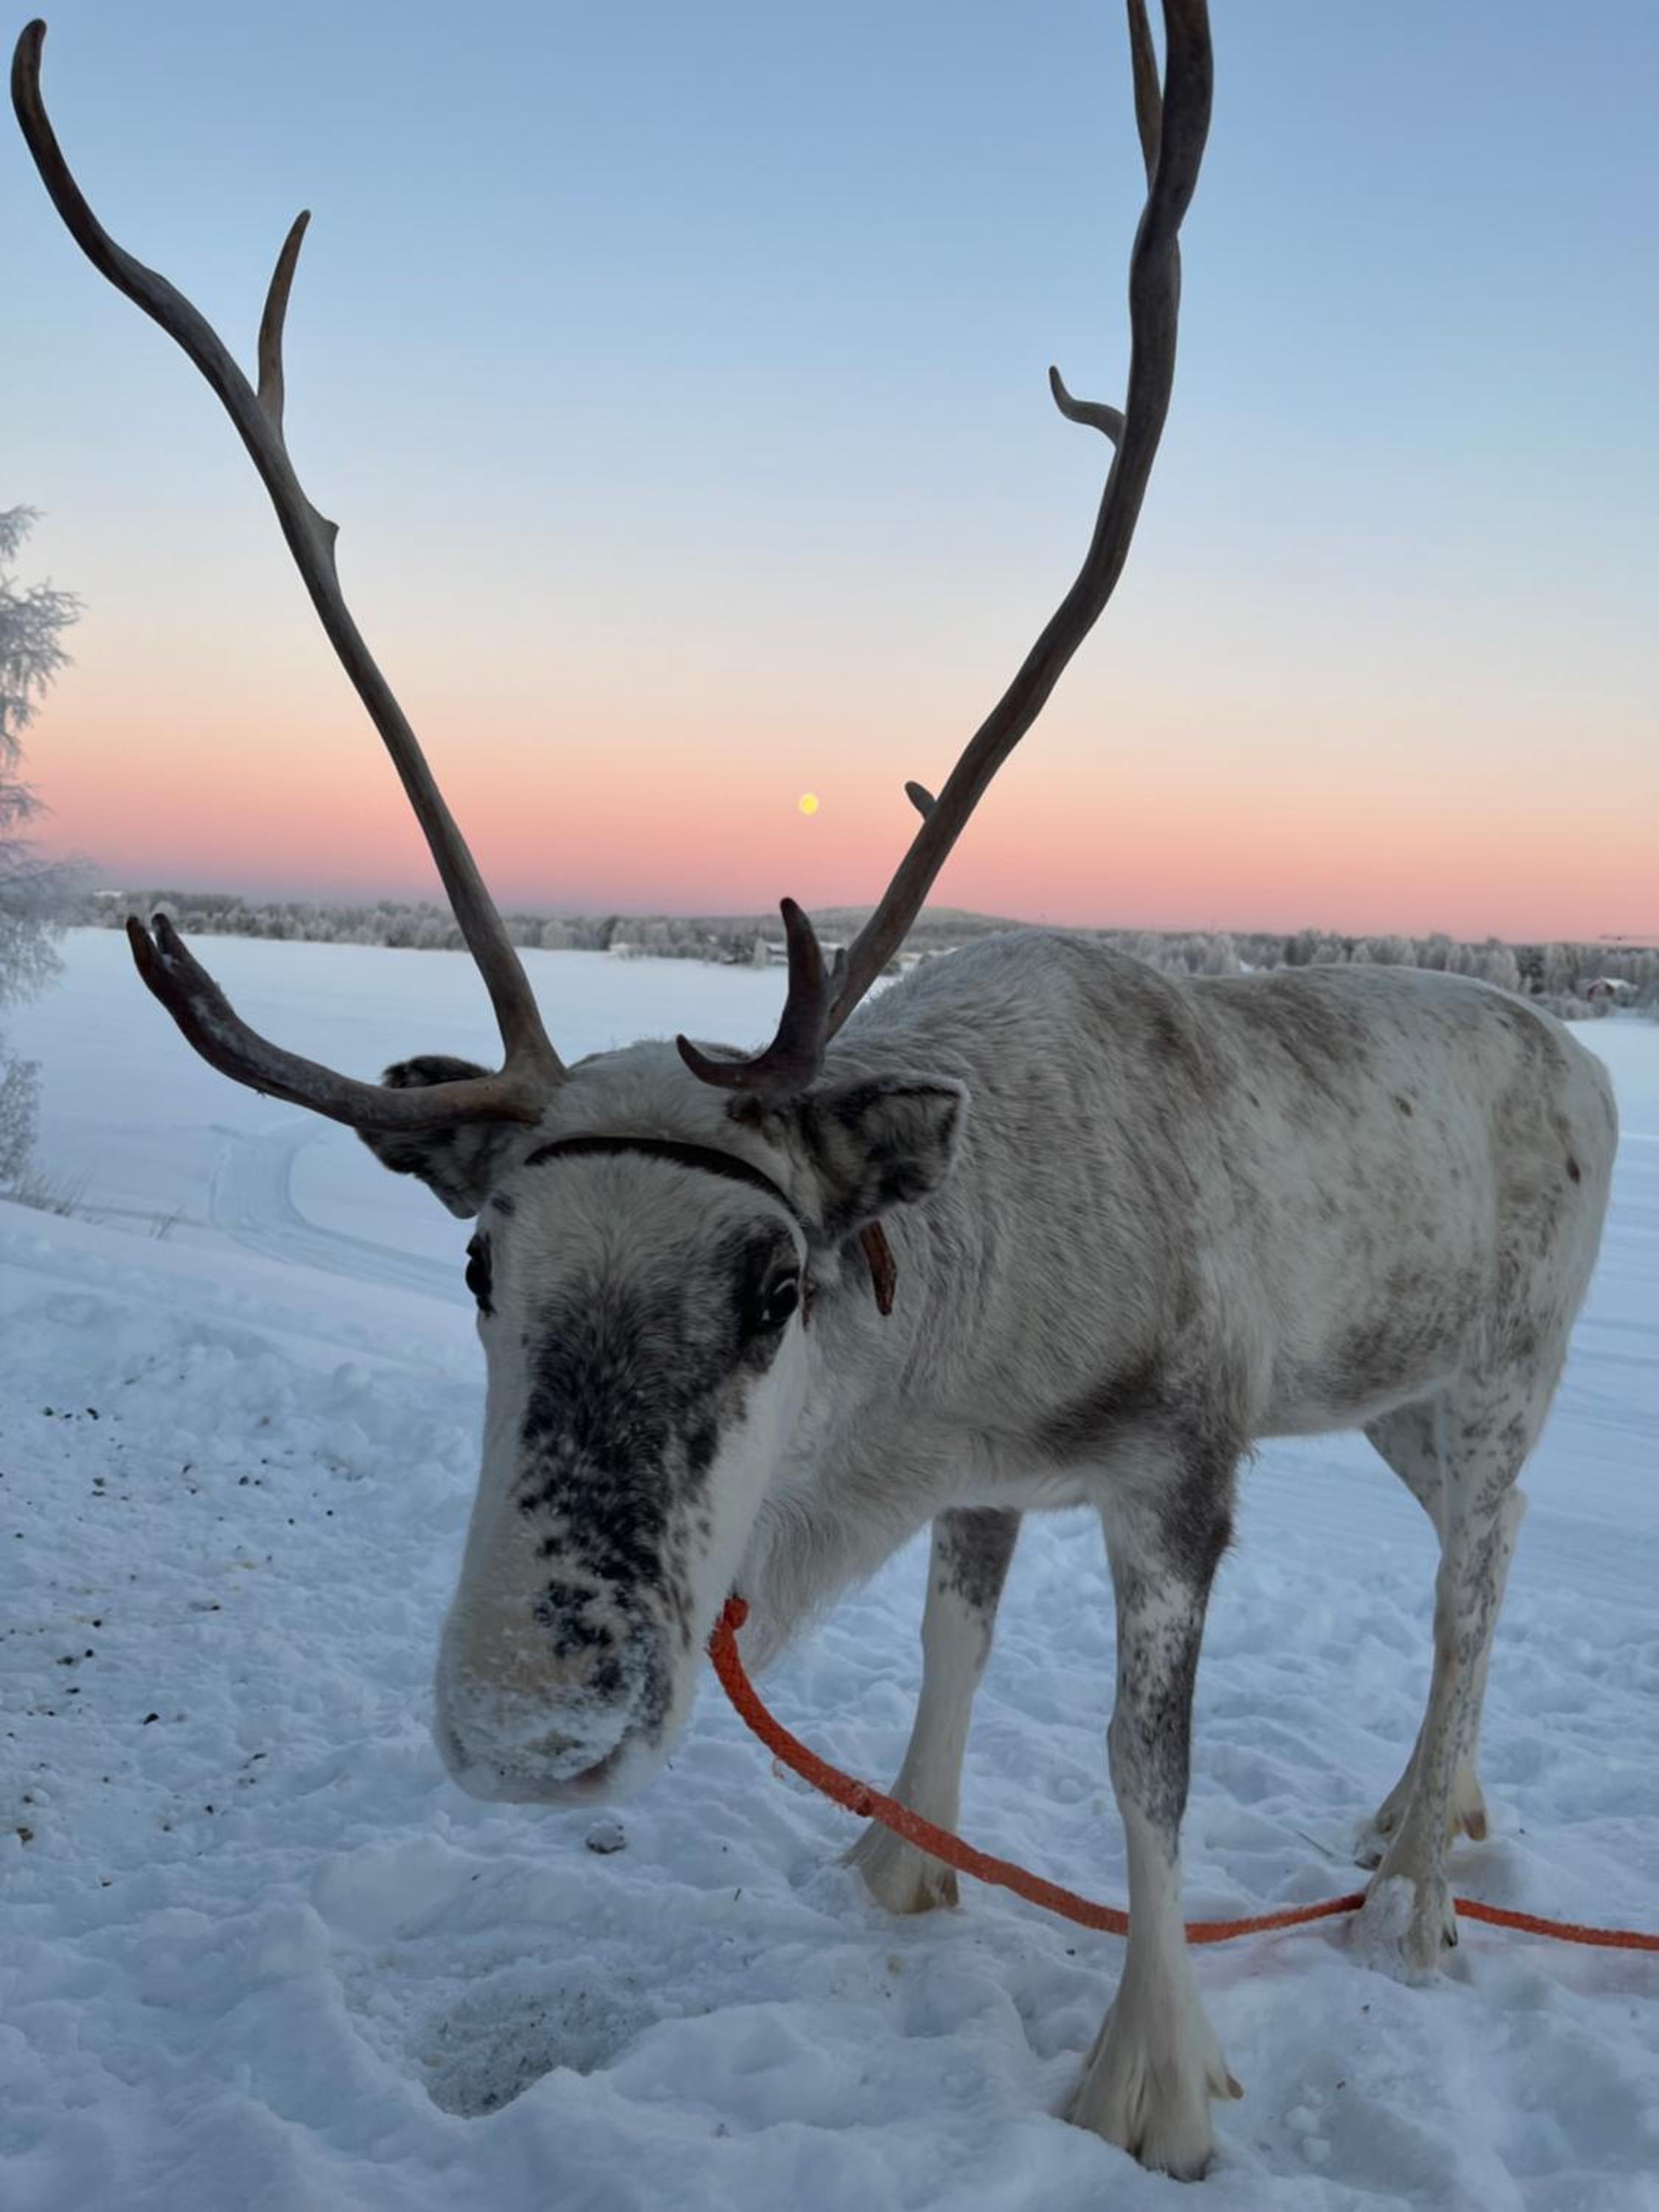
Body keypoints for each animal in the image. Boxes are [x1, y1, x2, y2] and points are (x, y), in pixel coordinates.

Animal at [15, 3, 1617, 2179]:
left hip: (1510, 1355)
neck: (973, 1335)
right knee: (1492, 1536)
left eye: (775, 1285)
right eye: (480, 1271)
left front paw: (1153, 2080)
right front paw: (898, 1868)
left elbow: (1146, 1765)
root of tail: (1582, 1048)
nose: (530, 1723)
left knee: (1471, 1580)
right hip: (1393, 1390)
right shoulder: (995, 1467)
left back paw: (1421, 1899)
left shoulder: (1183, 1462)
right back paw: (1417, 1814)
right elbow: (954, 1635)